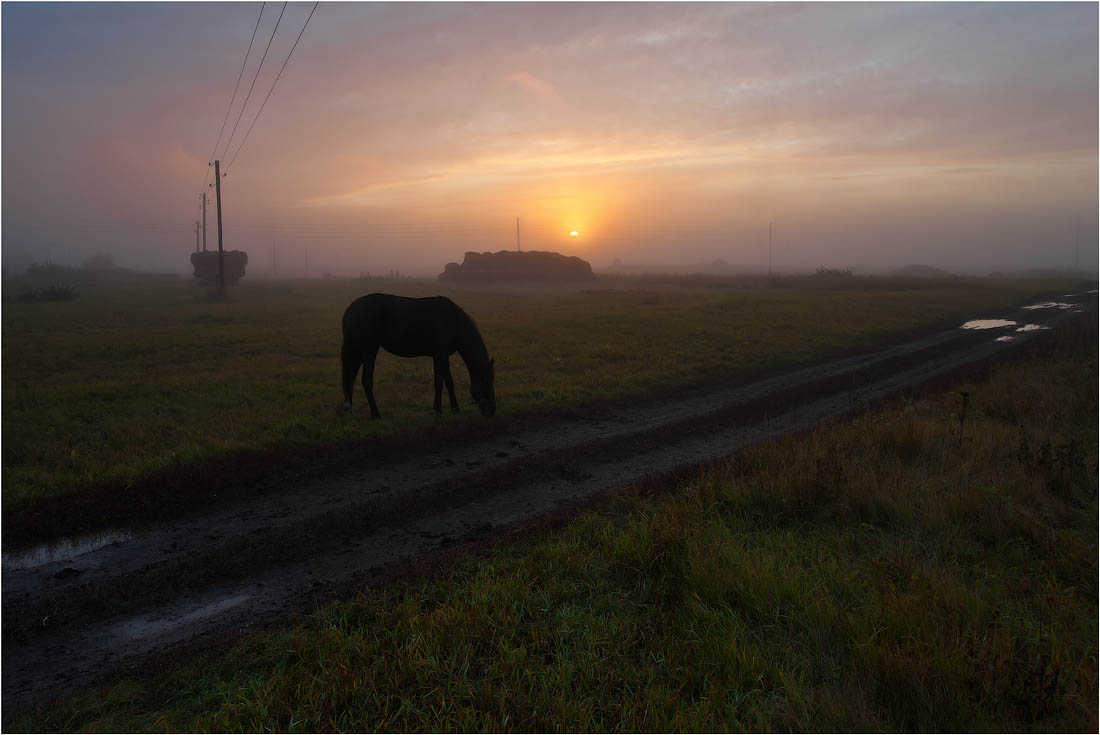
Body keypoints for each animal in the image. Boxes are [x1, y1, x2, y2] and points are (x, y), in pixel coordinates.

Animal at [341, 292, 497, 418]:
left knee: (351, 377)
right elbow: (445, 382)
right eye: (486, 380)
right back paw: (375, 414)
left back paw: (349, 409)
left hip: (357, 351)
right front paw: (447, 410)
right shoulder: (442, 355)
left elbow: (442, 382)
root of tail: (351, 309)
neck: (454, 321)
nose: (492, 411)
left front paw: (444, 409)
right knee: (366, 381)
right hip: (369, 351)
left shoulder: (439, 356)